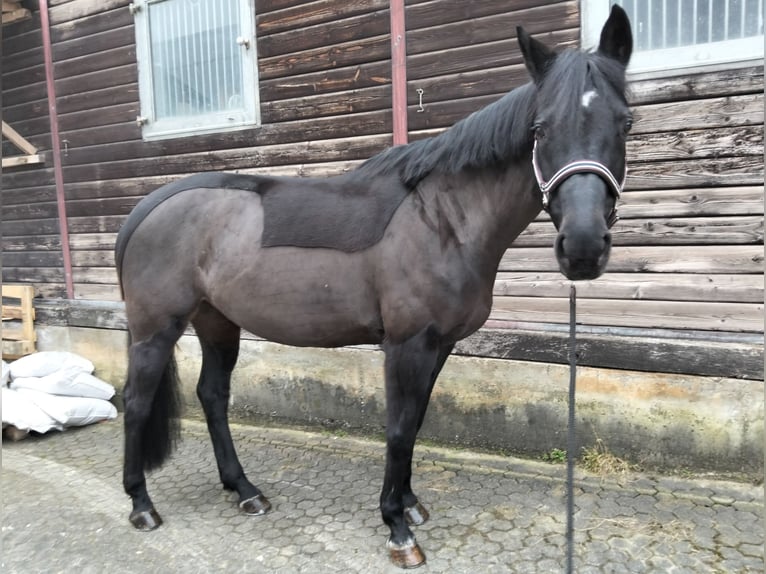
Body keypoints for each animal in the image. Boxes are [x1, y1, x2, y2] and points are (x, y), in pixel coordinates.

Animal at [115, 6, 632, 568]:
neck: (442, 219)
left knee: (212, 395)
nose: (582, 246)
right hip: (156, 329)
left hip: (217, 322)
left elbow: (417, 420)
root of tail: (150, 206)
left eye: (625, 122)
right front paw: (397, 528)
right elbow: (399, 428)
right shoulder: (406, 345)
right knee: (136, 402)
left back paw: (244, 490)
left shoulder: (439, 345)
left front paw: (409, 504)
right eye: (540, 128)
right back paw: (142, 505)